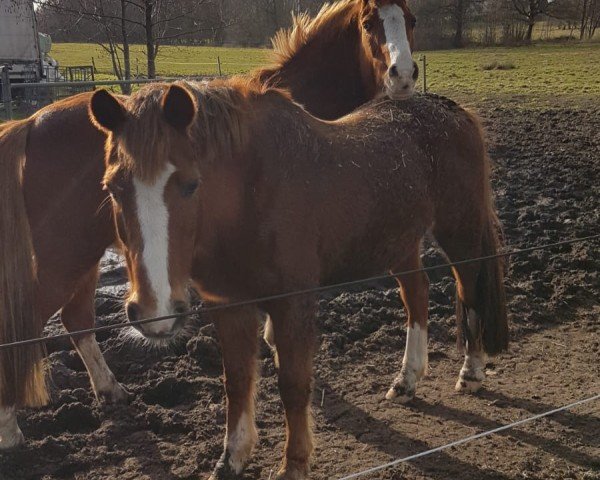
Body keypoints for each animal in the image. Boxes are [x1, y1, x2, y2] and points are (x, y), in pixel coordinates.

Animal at [0, 0, 418, 448]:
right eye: (370, 24)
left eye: (411, 20)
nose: (404, 76)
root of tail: (30, 124)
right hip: (63, 258)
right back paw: (10, 428)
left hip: (85, 257)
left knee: (76, 320)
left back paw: (111, 390)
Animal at [89, 80, 508, 478]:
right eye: (113, 188)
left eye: (191, 184)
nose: (154, 311)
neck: (250, 196)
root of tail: (455, 112)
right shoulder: (229, 305)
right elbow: (237, 381)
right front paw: (231, 460)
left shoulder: (292, 302)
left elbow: (292, 384)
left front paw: (294, 464)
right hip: (400, 242)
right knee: (417, 295)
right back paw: (406, 380)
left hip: (461, 234)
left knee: (469, 292)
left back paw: (471, 371)